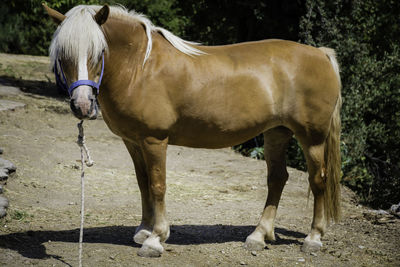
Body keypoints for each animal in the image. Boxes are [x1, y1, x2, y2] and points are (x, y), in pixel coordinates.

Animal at [45, 4, 342, 258]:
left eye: (98, 53)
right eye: (63, 56)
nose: (82, 105)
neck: (140, 67)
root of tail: (321, 54)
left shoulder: (154, 140)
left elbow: (157, 185)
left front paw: (155, 239)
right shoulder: (133, 141)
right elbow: (142, 183)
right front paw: (143, 230)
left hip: (311, 138)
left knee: (318, 180)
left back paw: (313, 238)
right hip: (276, 133)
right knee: (277, 178)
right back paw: (259, 236)